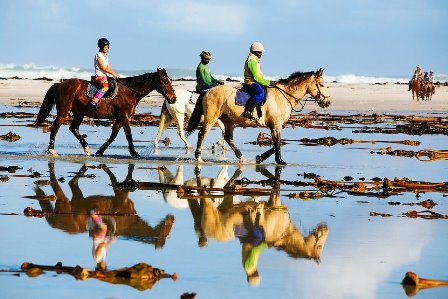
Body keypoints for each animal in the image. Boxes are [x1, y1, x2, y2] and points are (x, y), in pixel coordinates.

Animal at [34, 67, 177, 157]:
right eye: (165, 82)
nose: (173, 99)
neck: (130, 91)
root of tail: (60, 84)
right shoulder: (124, 117)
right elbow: (129, 135)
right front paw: (134, 152)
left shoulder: (120, 118)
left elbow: (113, 136)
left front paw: (100, 152)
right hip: (64, 112)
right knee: (55, 127)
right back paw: (52, 150)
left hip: (79, 113)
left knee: (73, 128)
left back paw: (86, 148)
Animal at [186, 68, 328, 165]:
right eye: (321, 85)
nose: (327, 102)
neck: (282, 96)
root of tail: (208, 91)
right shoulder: (276, 125)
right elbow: (277, 143)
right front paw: (279, 161)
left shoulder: (275, 126)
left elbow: (276, 144)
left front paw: (260, 158)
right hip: (211, 118)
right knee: (202, 134)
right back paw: (198, 157)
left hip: (229, 121)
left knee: (228, 138)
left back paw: (241, 157)